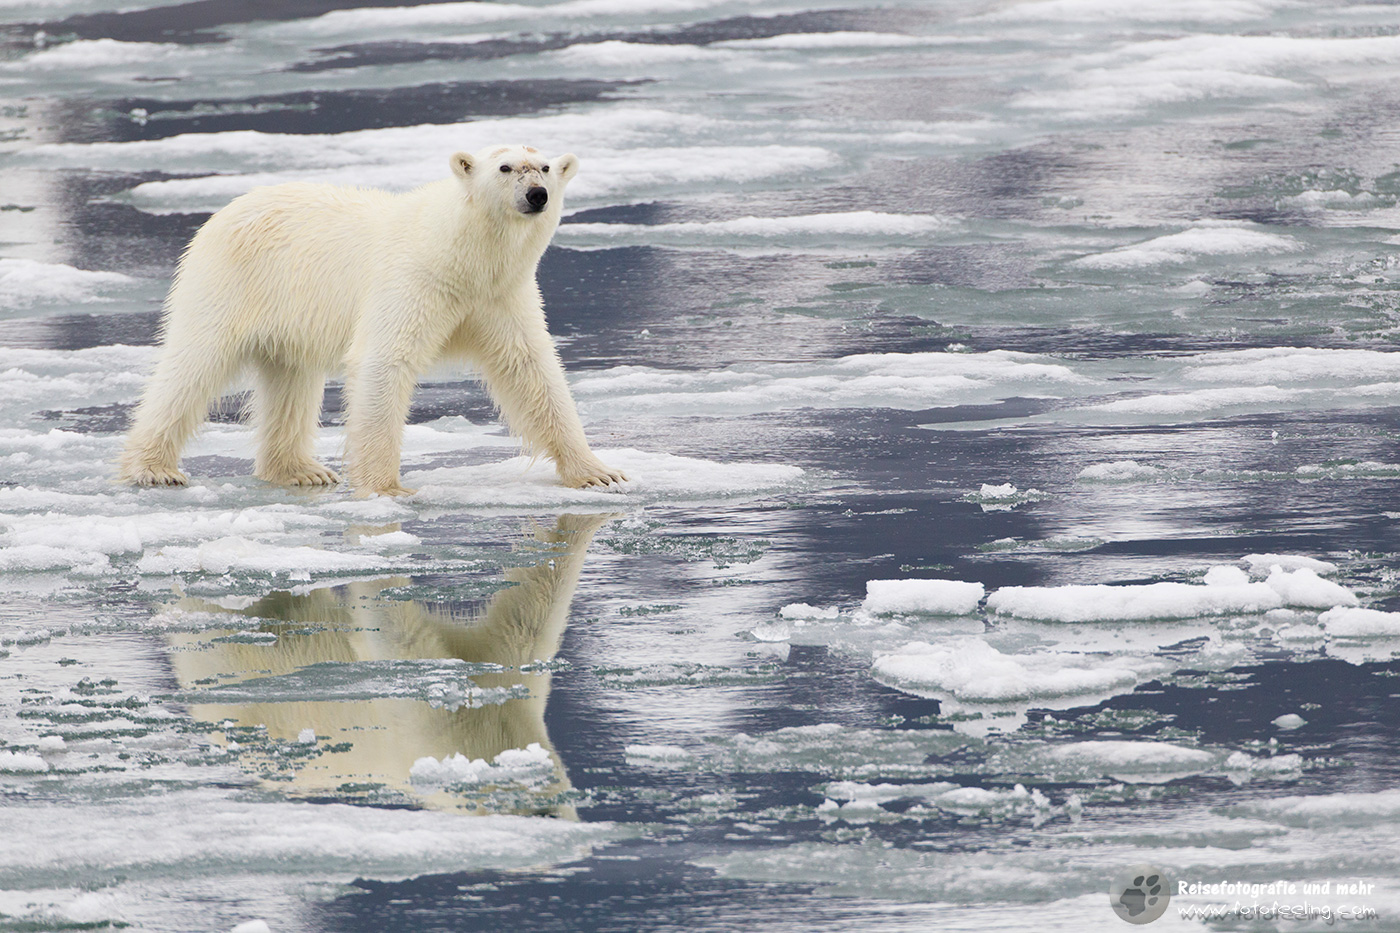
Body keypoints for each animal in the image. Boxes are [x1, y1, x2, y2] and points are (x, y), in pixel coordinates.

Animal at [118, 144, 627, 497]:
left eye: (544, 168)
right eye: (504, 168)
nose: (536, 195)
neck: (462, 256)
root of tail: (225, 210)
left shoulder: (500, 297)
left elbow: (532, 370)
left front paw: (599, 473)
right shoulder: (415, 281)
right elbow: (385, 361)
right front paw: (387, 486)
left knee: (291, 380)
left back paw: (302, 470)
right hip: (231, 281)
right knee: (195, 363)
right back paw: (155, 469)